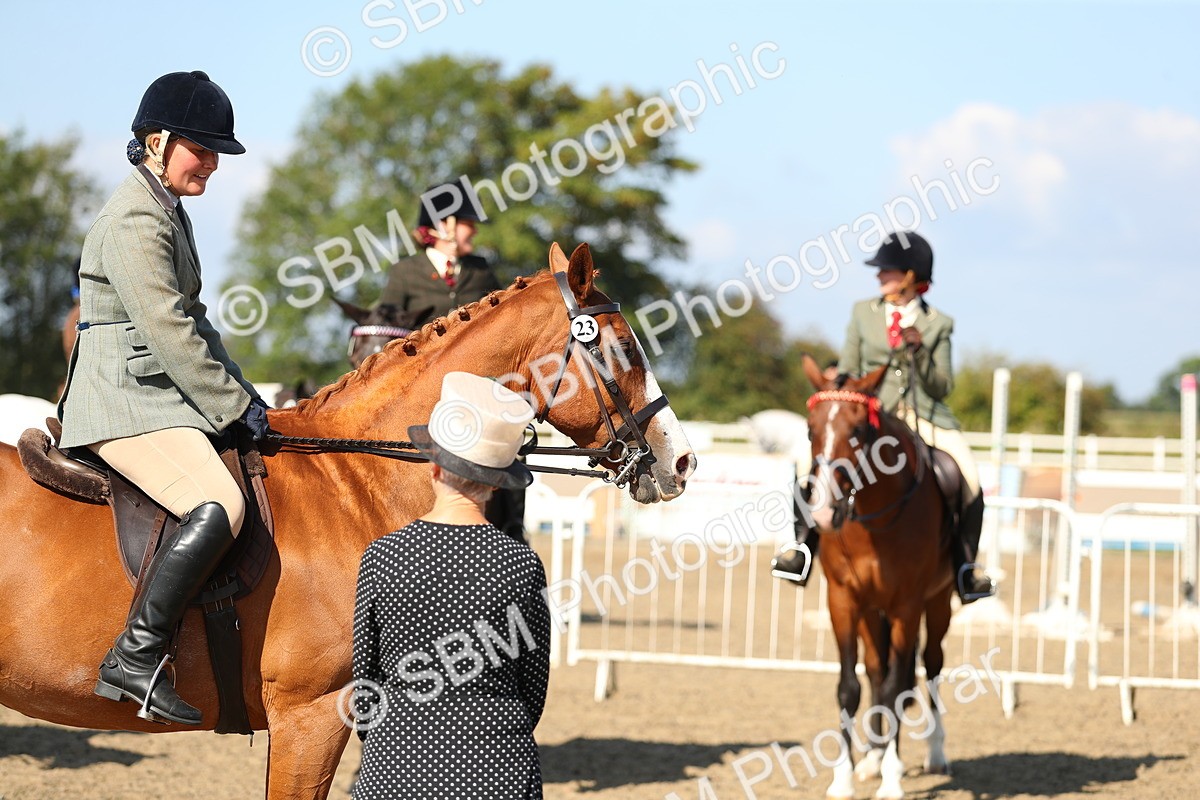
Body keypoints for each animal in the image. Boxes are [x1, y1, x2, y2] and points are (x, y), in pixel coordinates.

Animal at [799, 354, 954, 800]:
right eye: (810, 429)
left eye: (859, 431)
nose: (823, 513)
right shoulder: (843, 601)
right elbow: (850, 687)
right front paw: (844, 778)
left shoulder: (907, 606)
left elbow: (897, 687)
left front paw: (892, 780)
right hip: (872, 612)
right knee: (876, 668)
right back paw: (872, 756)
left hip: (938, 603)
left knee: (930, 666)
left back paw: (934, 754)